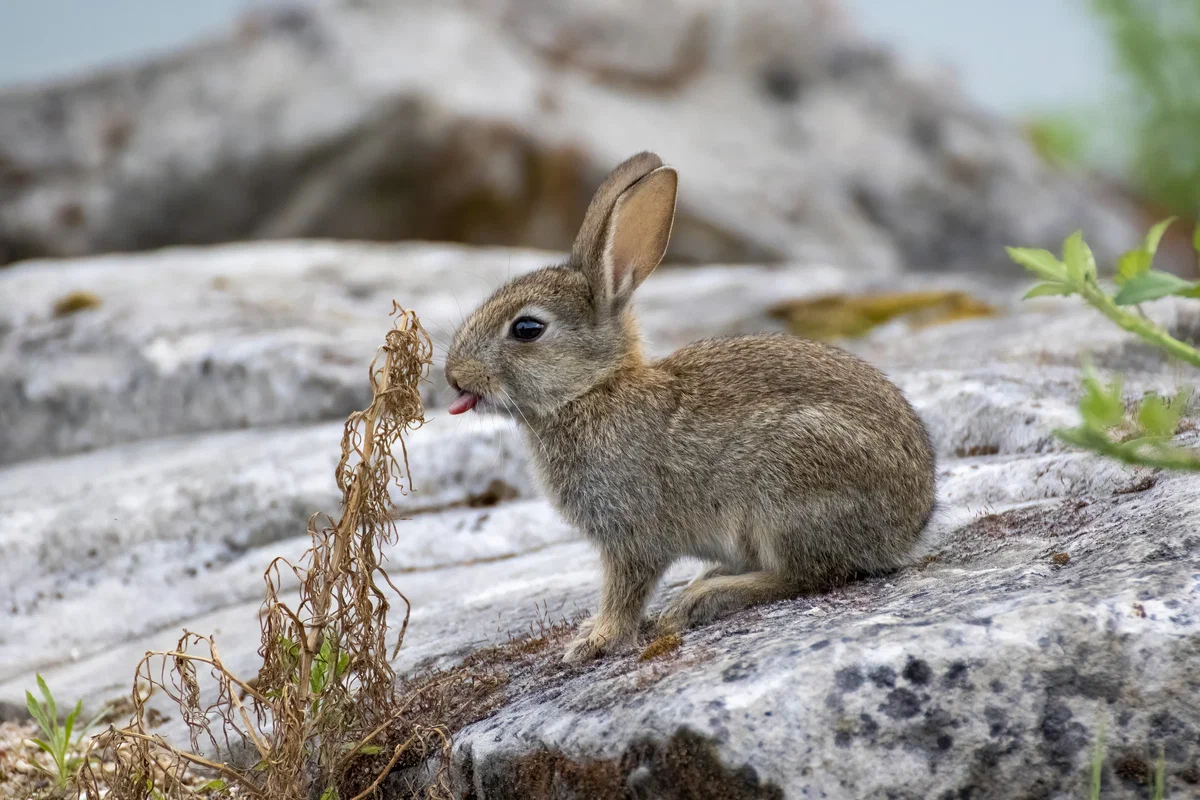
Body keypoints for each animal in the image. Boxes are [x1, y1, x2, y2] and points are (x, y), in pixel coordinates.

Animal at [446, 149, 940, 662]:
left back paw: (703, 598)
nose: (453, 376)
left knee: (809, 574)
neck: (593, 390)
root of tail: (909, 528)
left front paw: (595, 641)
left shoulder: (632, 533)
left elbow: (625, 590)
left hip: (790, 488)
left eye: (527, 329)